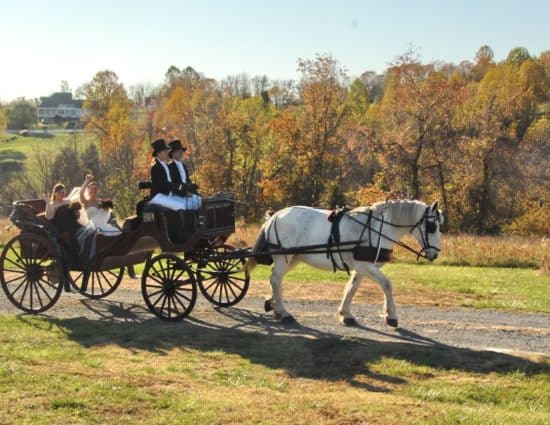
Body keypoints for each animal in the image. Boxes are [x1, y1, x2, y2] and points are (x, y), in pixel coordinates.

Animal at [246, 200, 444, 326]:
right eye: (432, 227)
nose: (435, 254)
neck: (377, 228)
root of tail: (275, 216)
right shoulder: (365, 266)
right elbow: (387, 284)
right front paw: (391, 315)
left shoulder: (362, 266)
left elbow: (352, 288)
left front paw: (346, 314)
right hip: (284, 256)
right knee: (275, 279)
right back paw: (283, 312)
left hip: (294, 257)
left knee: (276, 280)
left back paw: (273, 304)